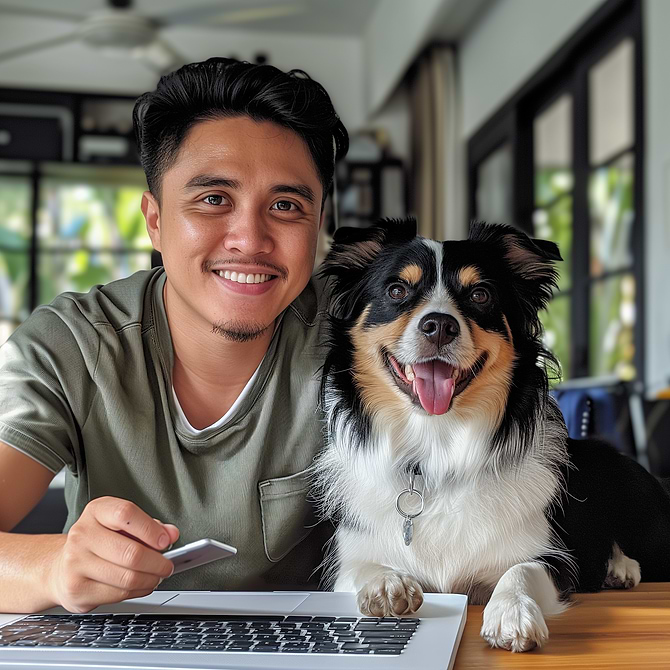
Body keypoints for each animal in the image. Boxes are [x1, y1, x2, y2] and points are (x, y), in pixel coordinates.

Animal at [314, 219, 670, 652]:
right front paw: (386, 583)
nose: (439, 325)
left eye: (480, 295)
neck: (437, 447)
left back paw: (620, 567)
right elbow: (364, 566)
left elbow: (520, 569)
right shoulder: (347, 560)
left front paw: (512, 612)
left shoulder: (552, 559)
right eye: (397, 291)